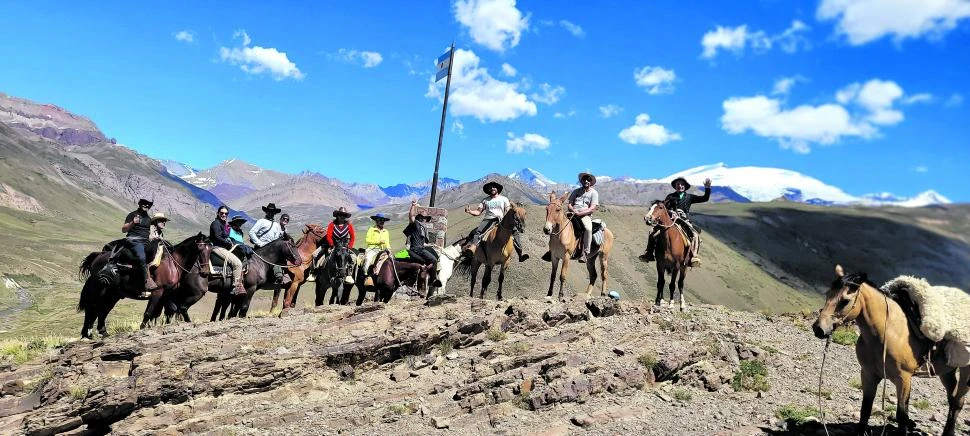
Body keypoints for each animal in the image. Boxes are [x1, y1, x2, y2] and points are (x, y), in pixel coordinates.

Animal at [76, 233, 211, 338]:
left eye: (210, 251)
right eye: (200, 249)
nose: (205, 272)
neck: (173, 264)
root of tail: (97, 256)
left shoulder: (166, 295)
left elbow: (168, 310)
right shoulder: (158, 292)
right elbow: (149, 313)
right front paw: (142, 329)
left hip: (113, 295)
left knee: (102, 310)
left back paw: (101, 332)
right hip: (100, 290)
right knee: (92, 308)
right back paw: (87, 334)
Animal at [808, 266, 968, 436]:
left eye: (845, 301)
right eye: (827, 294)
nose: (819, 329)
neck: (888, 333)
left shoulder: (904, 379)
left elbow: (902, 414)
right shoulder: (868, 374)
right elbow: (866, 409)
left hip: (966, 370)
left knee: (958, 402)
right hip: (947, 371)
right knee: (952, 398)